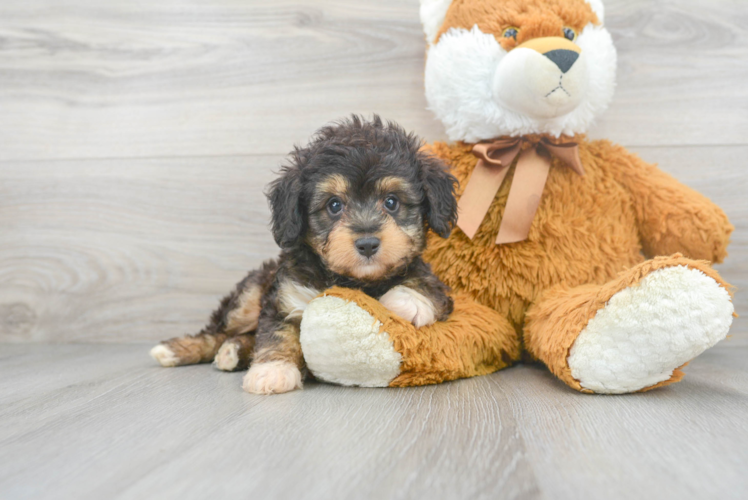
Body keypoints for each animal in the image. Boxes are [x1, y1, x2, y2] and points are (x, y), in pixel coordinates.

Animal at [150, 116, 458, 394]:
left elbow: (428, 284)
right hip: (249, 295)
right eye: (334, 205)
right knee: (219, 332)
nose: (368, 243)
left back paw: (233, 352)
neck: (353, 280)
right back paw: (179, 350)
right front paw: (272, 371)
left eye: (392, 202)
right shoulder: (287, 295)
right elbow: (277, 332)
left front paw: (407, 301)